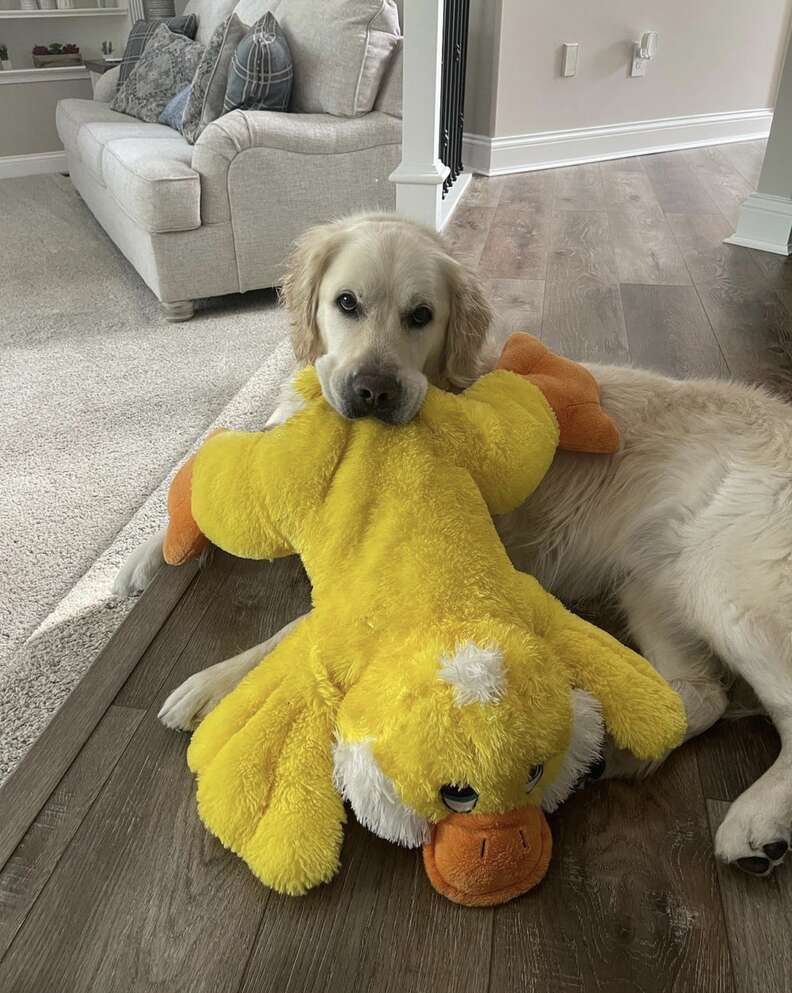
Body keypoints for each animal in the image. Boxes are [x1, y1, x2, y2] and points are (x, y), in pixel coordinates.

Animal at [116, 211, 792, 876]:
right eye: (346, 303)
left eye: (422, 315)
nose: (373, 391)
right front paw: (142, 560)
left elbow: (293, 630)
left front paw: (212, 685)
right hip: (649, 583)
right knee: (701, 695)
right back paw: (614, 754)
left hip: (725, 586)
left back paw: (755, 823)